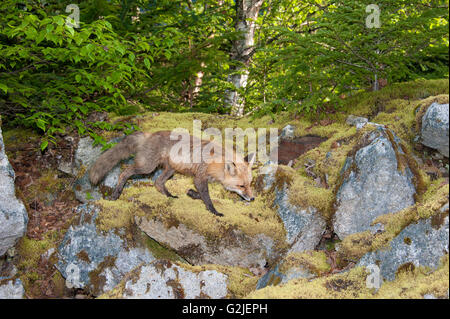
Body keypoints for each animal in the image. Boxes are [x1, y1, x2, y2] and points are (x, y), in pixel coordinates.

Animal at [89, 131, 255, 218]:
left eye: (249, 184)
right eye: (241, 186)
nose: (253, 198)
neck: (216, 161)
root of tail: (149, 134)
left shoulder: (201, 178)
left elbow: (200, 194)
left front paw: (191, 194)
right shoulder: (199, 177)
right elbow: (207, 198)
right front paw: (214, 211)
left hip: (170, 170)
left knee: (158, 182)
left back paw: (169, 196)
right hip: (147, 167)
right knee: (125, 172)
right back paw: (116, 193)